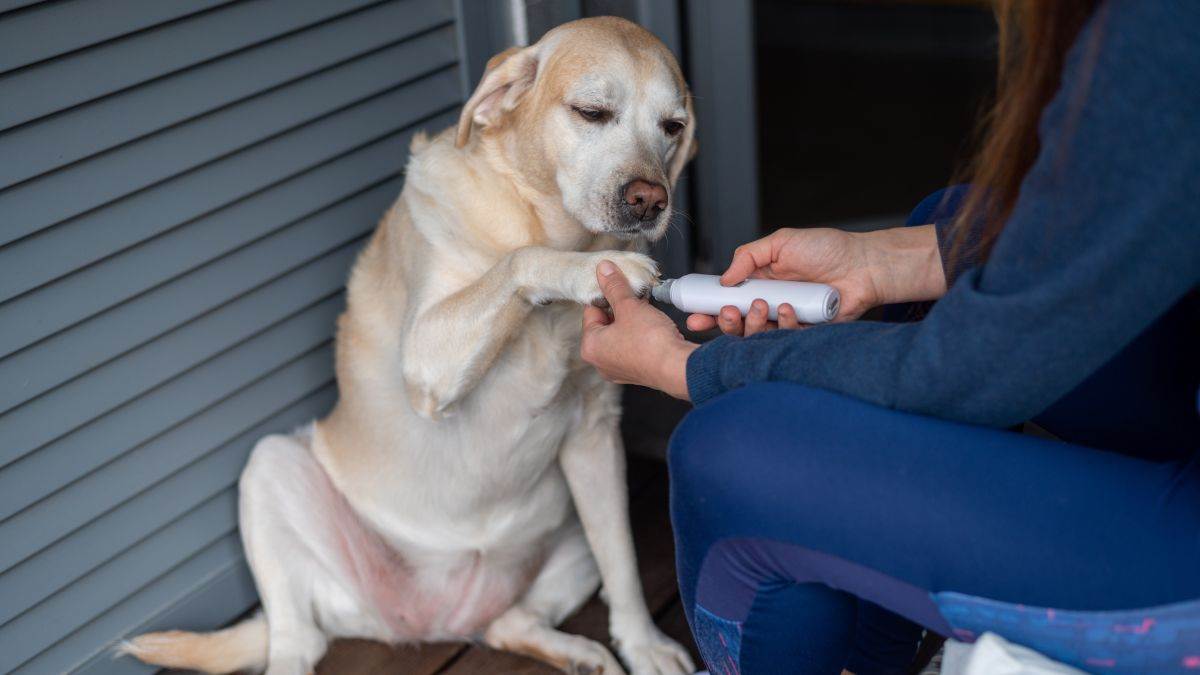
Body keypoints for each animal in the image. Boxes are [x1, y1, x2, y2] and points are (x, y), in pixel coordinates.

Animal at [119, 15, 696, 672]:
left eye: (672, 127)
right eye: (592, 112)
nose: (650, 199)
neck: (543, 221)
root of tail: (431, 621)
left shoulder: (596, 436)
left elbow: (622, 560)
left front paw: (643, 644)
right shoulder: (427, 361)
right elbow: (521, 261)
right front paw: (595, 270)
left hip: (566, 535)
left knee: (510, 622)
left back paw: (576, 652)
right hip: (270, 468)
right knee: (297, 640)